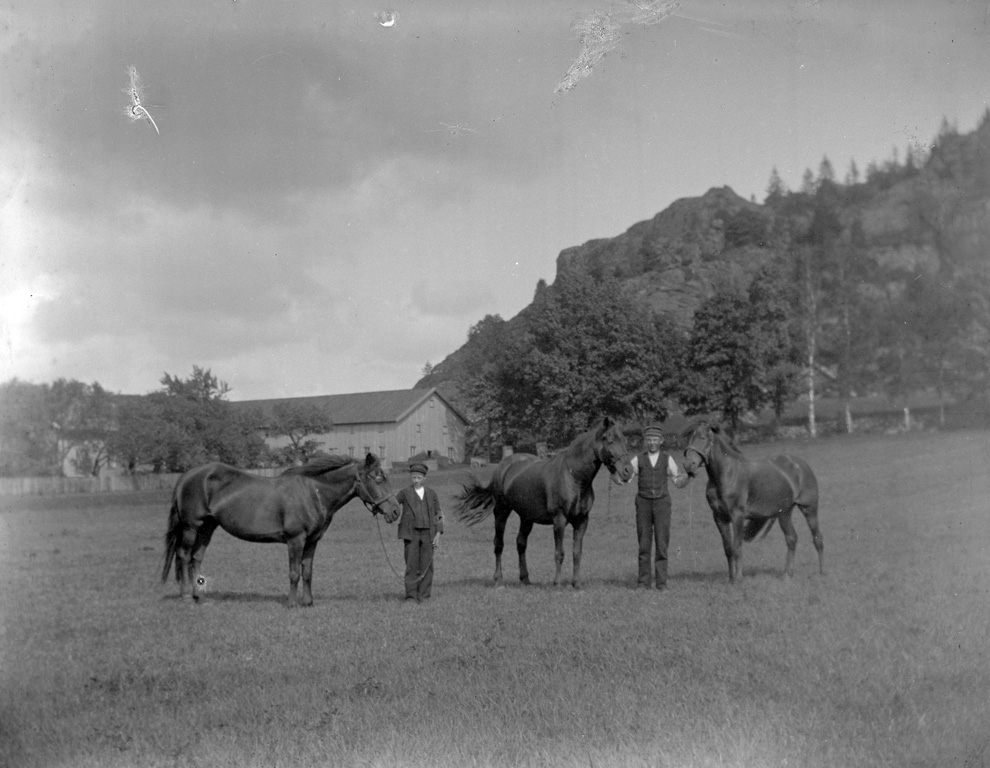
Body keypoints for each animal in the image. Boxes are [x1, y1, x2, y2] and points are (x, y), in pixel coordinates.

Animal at [162, 453, 400, 607]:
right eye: (378, 478)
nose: (396, 510)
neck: (313, 493)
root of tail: (187, 476)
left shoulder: (312, 541)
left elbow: (307, 572)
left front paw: (308, 602)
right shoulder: (296, 540)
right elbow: (294, 573)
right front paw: (292, 603)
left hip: (208, 527)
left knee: (196, 558)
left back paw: (199, 597)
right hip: (192, 526)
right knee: (184, 556)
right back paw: (186, 596)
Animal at [454, 417, 634, 589]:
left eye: (625, 440)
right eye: (609, 440)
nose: (628, 471)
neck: (573, 477)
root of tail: (502, 466)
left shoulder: (582, 521)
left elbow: (577, 553)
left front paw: (576, 584)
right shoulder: (559, 520)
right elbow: (559, 553)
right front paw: (557, 583)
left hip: (526, 518)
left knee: (521, 543)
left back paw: (525, 579)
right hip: (501, 512)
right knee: (499, 544)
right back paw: (499, 580)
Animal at [681, 420, 824, 582]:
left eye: (703, 438)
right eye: (689, 439)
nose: (688, 465)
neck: (727, 474)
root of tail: (801, 465)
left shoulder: (737, 516)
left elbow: (737, 547)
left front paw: (738, 579)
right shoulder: (719, 517)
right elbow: (728, 549)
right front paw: (730, 578)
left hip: (809, 509)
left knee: (817, 537)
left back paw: (822, 572)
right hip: (784, 513)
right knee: (791, 538)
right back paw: (787, 574)